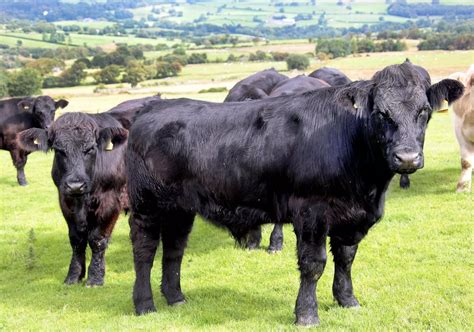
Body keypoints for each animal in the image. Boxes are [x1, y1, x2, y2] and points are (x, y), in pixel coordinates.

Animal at [17, 110, 130, 286]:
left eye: (90, 149)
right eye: (59, 150)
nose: (76, 185)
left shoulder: (110, 200)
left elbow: (97, 239)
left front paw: (95, 278)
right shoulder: (65, 200)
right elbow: (77, 239)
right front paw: (74, 275)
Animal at [126, 61, 462, 326]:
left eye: (424, 112)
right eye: (381, 113)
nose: (407, 158)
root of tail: (154, 106)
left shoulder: (353, 217)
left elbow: (346, 259)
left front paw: (347, 300)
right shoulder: (311, 213)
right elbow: (314, 264)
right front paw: (307, 314)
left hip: (179, 209)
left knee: (174, 249)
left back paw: (175, 297)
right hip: (146, 206)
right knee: (144, 251)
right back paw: (144, 305)